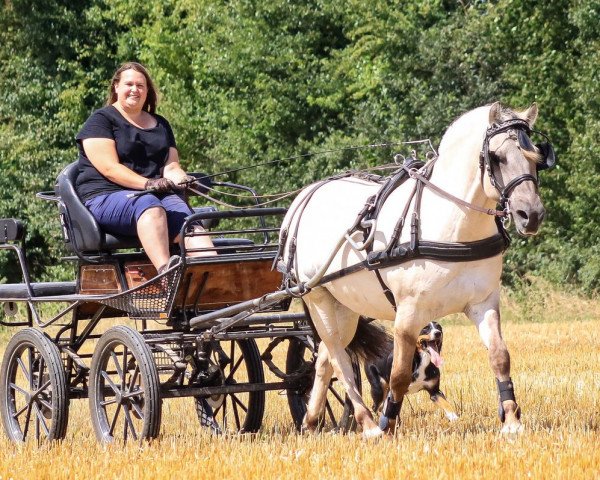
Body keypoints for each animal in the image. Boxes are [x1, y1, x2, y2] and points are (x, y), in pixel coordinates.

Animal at [278, 102, 556, 438]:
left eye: (537, 157)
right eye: (497, 157)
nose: (532, 215)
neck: (454, 225)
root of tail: (304, 198)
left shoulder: (483, 302)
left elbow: (500, 357)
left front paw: (512, 421)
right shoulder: (408, 314)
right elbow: (398, 374)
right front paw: (387, 423)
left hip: (344, 306)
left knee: (324, 360)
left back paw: (310, 421)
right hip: (318, 297)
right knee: (339, 360)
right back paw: (367, 424)